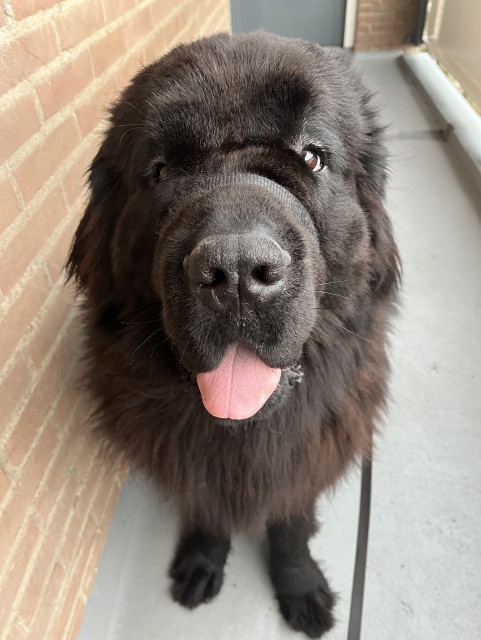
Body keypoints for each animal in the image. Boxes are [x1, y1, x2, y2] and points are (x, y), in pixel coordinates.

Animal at [66, 32, 398, 636]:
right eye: (161, 171)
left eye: (311, 156)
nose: (238, 270)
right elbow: (208, 510)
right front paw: (202, 560)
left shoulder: (303, 460)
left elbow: (289, 526)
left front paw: (300, 585)